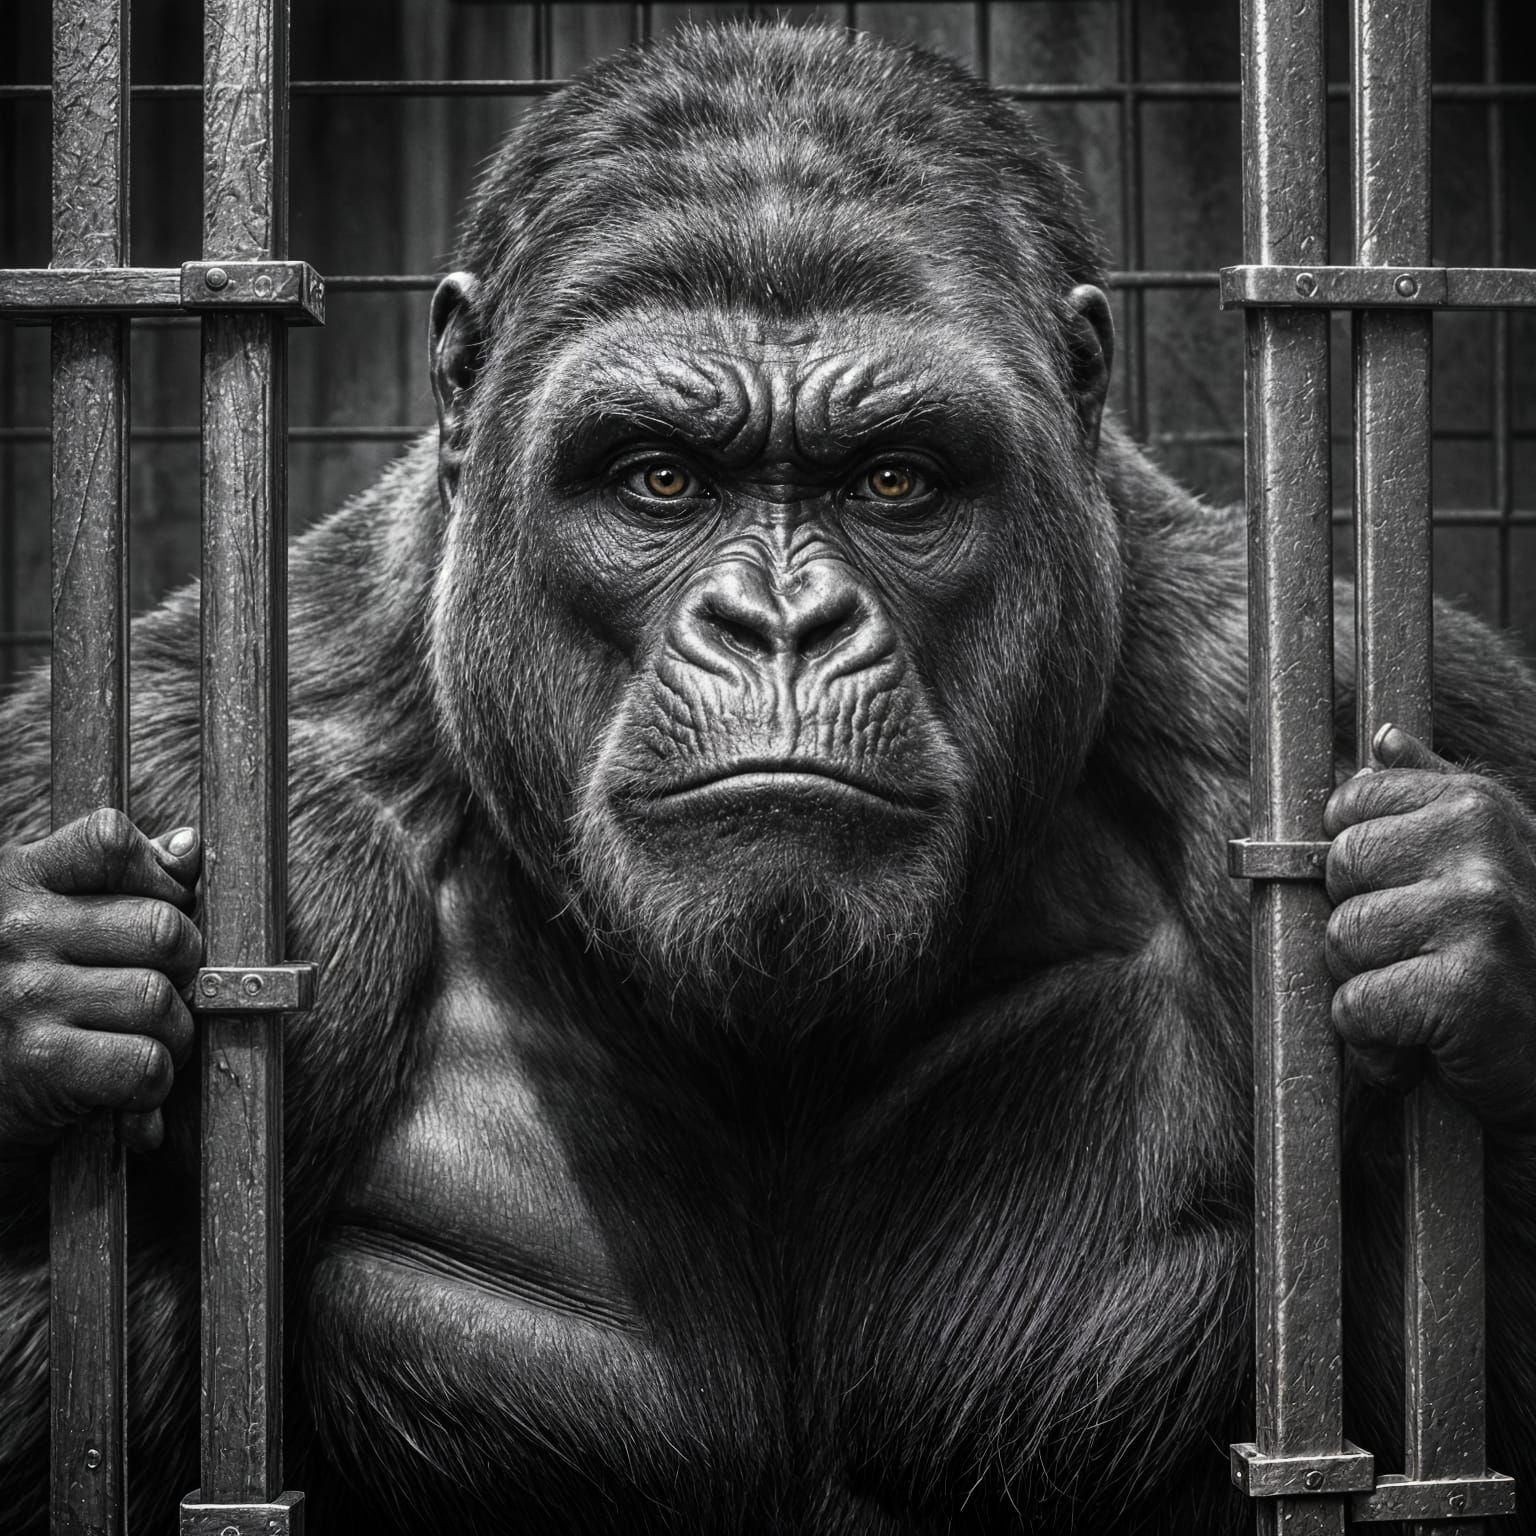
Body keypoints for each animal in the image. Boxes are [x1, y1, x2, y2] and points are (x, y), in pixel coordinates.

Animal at [2, 22, 1534, 1534]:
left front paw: (1470, 930)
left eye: (897, 481)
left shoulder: (1340, 700)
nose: (783, 624)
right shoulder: (210, 784)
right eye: (659, 479)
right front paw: (58, 989)